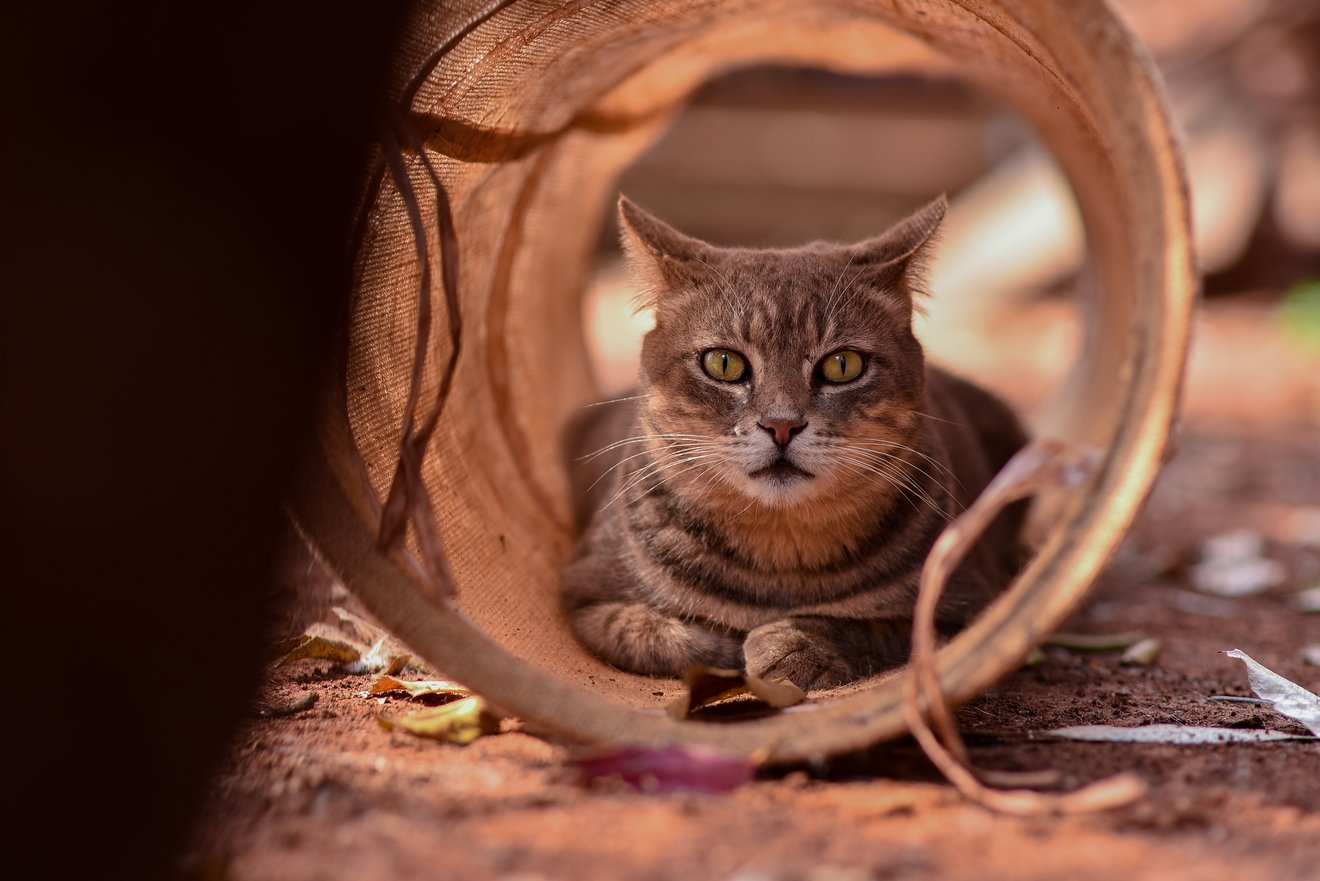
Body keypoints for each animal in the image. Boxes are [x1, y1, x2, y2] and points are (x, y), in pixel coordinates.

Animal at [559, 196, 1029, 692]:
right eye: (723, 363)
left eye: (843, 365)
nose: (781, 425)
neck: (781, 553)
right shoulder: (584, 596)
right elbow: (652, 632)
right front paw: (730, 645)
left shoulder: (967, 603)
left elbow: (875, 627)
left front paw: (793, 643)